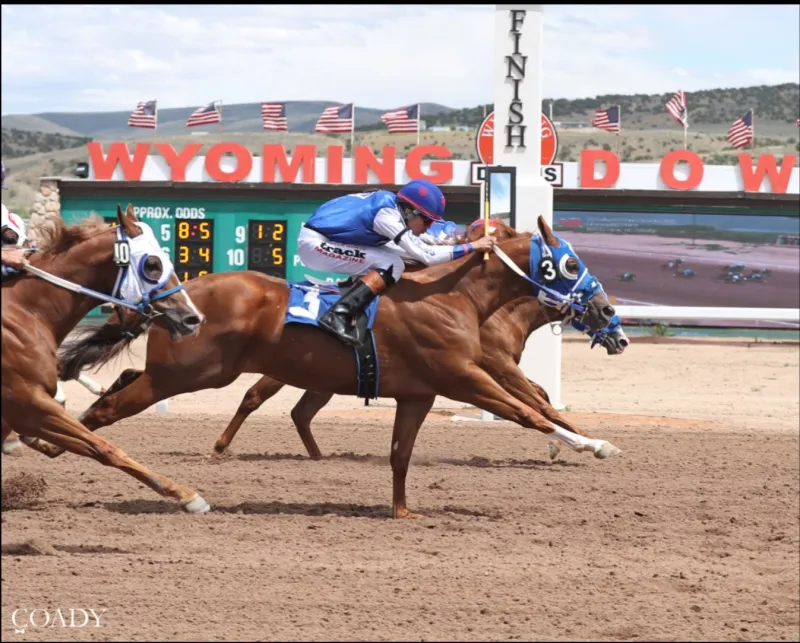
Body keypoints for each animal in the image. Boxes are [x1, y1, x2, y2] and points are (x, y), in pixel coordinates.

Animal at [1, 204, 210, 513]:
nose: (193, 317)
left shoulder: (22, 410)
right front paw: (186, 495)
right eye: (152, 265)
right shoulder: (28, 404)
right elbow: (105, 448)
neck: (26, 311)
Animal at [210, 218, 629, 461]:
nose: (613, 320)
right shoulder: (488, 367)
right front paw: (583, 442)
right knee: (256, 397)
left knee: (300, 412)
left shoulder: (491, 367)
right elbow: (535, 404)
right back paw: (222, 445)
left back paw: (318, 456)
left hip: (319, 376)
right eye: (571, 264)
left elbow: (538, 398)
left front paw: (570, 441)